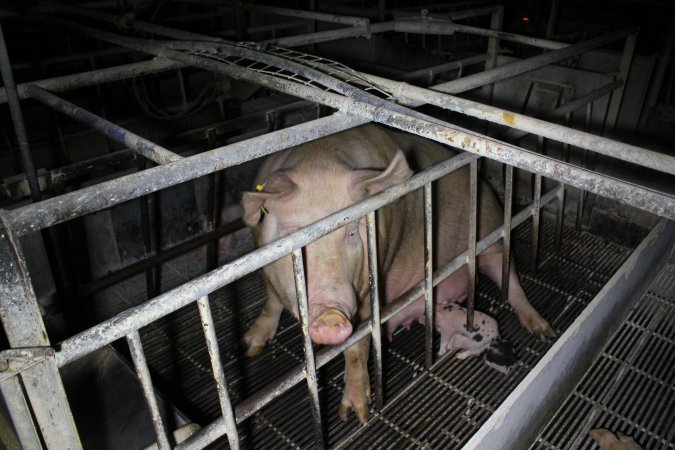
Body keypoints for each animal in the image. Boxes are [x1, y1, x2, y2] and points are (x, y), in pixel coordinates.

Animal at [240, 125, 556, 424]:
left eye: (352, 232)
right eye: (290, 236)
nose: (330, 316)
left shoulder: (371, 283)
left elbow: (357, 346)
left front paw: (356, 415)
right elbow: (272, 301)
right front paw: (250, 346)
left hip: (492, 233)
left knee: (511, 280)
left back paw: (543, 331)